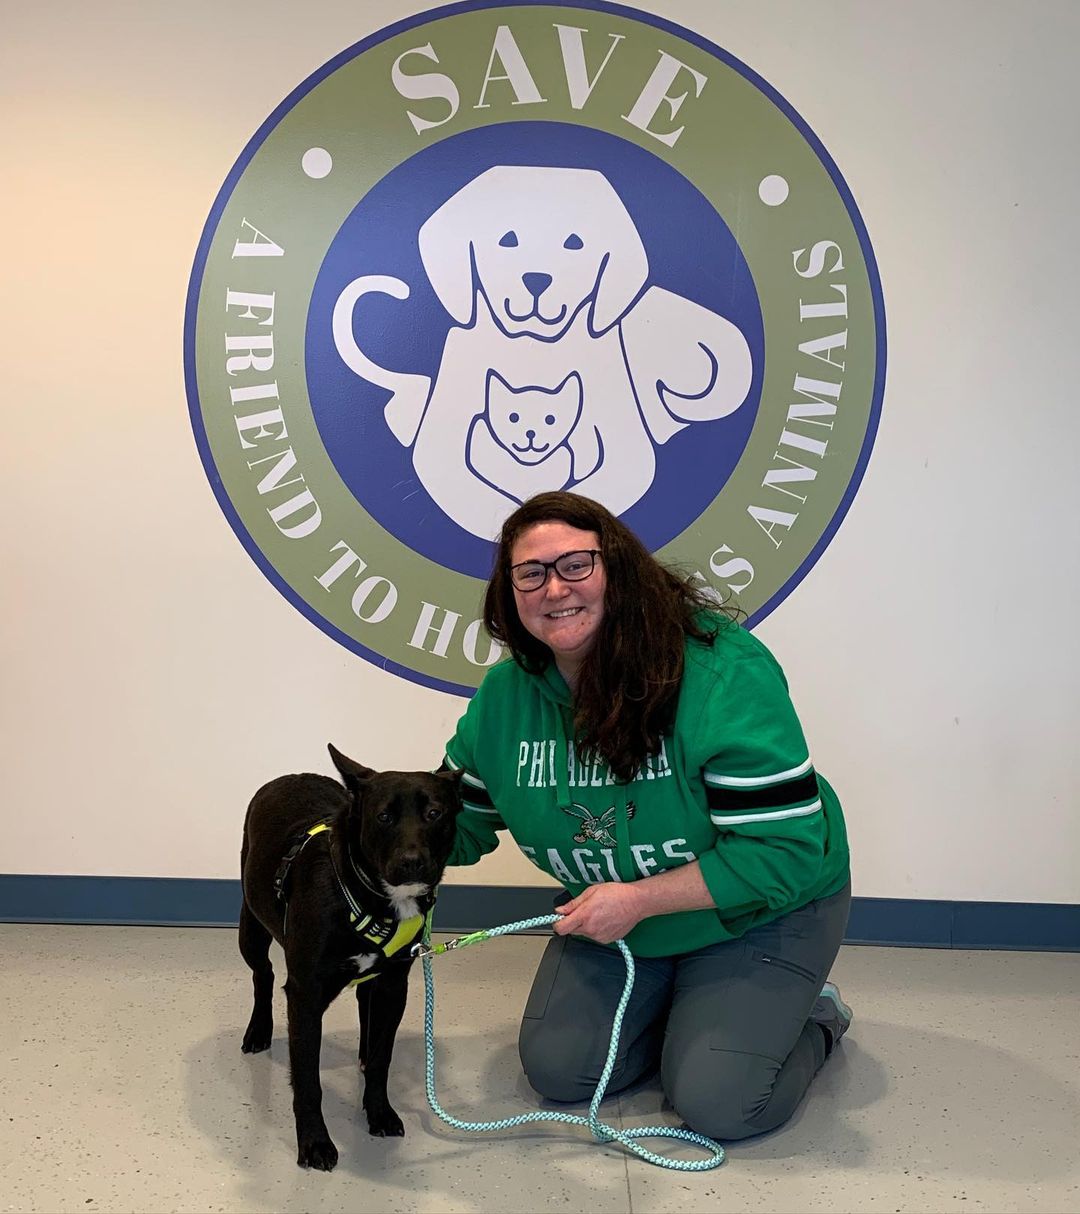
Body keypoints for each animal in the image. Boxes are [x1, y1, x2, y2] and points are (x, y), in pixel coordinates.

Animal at [237, 742, 461, 1170]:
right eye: (383, 816)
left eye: (434, 814)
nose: (411, 862)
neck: (369, 895)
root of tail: (289, 776)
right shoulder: (306, 995)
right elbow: (308, 1081)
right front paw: (314, 1142)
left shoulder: (393, 987)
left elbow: (381, 1059)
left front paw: (379, 1112)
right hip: (251, 929)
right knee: (264, 975)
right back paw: (258, 1030)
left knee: (362, 1002)